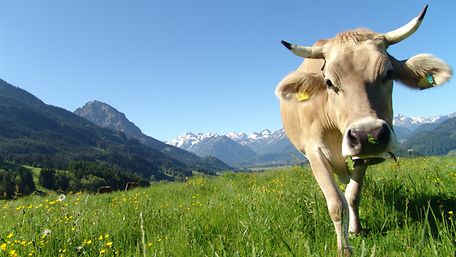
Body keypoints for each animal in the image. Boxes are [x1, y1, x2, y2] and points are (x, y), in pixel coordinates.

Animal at [276, 5, 450, 254]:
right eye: (329, 82)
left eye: (388, 73)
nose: (368, 135)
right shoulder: (314, 152)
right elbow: (336, 203)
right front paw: (343, 250)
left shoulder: (364, 155)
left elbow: (352, 194)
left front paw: (354, 230)